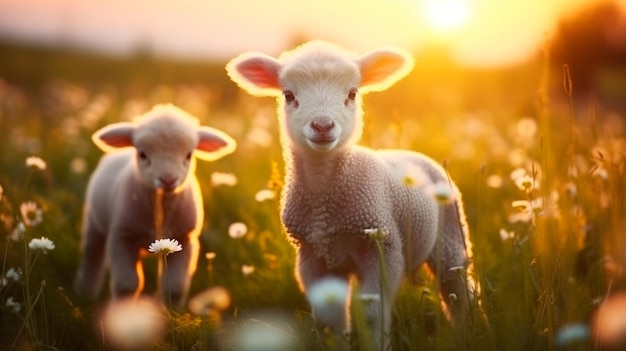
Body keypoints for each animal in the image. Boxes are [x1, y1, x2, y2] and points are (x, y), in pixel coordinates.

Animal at [75, 104, 236, 308]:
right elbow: (127, 284)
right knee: (92, 256)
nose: (168, 180)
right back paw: (85, 294)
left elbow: (175, 286)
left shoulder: (184, 239)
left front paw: (173, 312)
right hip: (93, 222)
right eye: (143, 154)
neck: (160, 210)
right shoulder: (122, 236)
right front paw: (125, 310)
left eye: (189, 154)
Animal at [227, 41, 476, 350]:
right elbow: (328, 319)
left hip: (451, 233)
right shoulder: (312, 254)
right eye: (288, 95)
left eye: (352, 93)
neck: (324, 203)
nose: (322, 126)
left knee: (458, 289)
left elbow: (372, 314)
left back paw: (467, 332)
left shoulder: (383, 246)